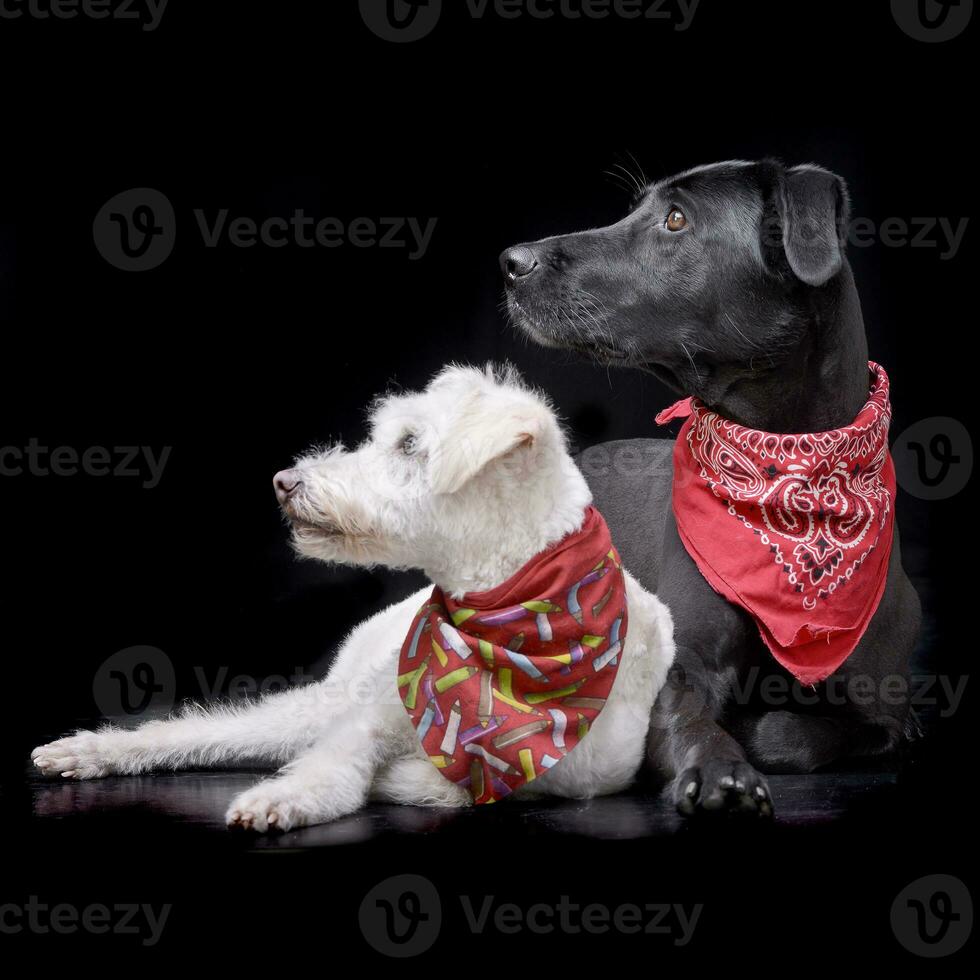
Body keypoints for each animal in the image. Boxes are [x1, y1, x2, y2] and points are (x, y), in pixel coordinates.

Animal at [30, 364, 672, 832]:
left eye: (410, 443)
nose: (285, 482)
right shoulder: (373, 715)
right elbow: (338, 764)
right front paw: (285, 797)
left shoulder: (583, 773)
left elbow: (448, 787)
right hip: (332, 697)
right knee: (204, 731)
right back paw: (92, 751)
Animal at [502, 163, 924, 820]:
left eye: (676, 219)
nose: (511, 261)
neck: (790, 475)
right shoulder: (680, 669)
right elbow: (693, 720)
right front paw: (723, 770)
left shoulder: (887, 708)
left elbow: (805, 734)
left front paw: (755, 729)